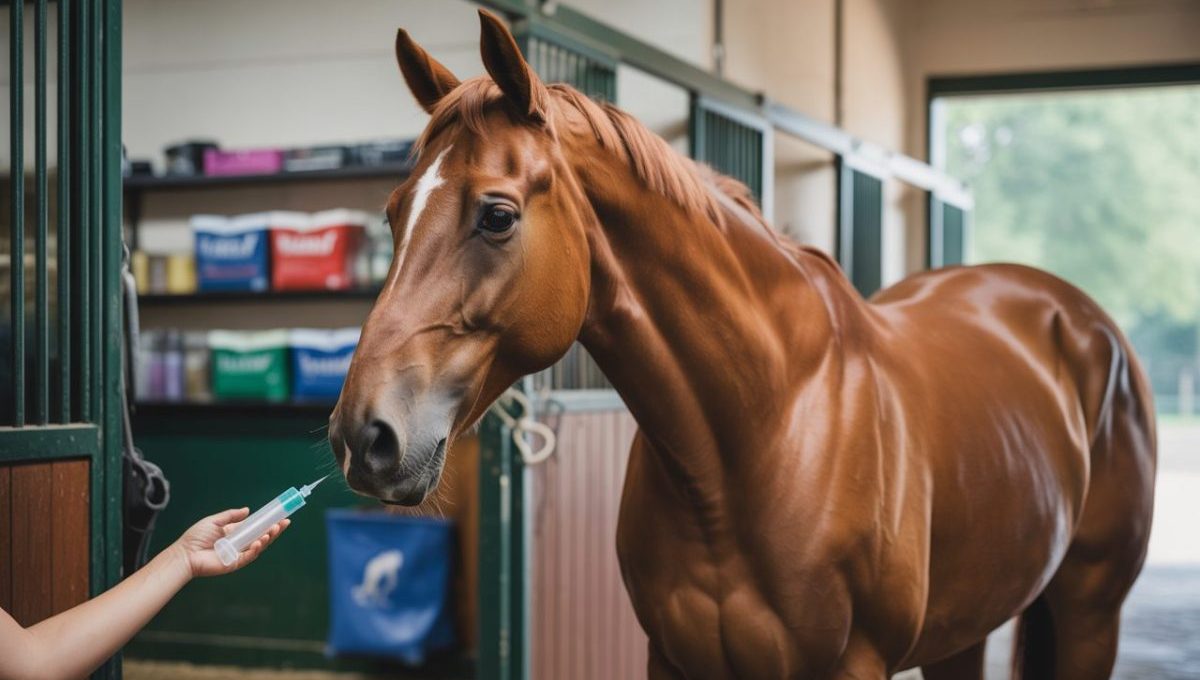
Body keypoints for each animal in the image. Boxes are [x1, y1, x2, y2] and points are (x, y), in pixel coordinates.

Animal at [328, 11, 1156, 679]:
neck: (759, 433)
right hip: (965, 628)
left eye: (496, 216)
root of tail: (1075, 317)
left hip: (1091, 614)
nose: (362, 435)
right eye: (394, 212)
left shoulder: (854, 665)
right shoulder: (673, 659)